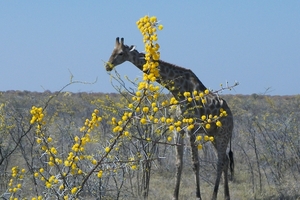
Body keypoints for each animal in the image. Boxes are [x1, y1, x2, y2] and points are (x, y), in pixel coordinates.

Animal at [105, 38, 234, 200]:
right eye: (112, 51)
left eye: (121, 53)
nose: (107, 66)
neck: (178, 90)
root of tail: (231, 116)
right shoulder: (178, 130)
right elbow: (179, 163)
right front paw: (174, 195)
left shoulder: (191, 128)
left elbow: (195, 163)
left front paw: (198, 196)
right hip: (213, 135)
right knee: (225, 161)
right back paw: (226, 196)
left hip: (223, 134)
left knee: (220, 161)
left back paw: (214, 196)